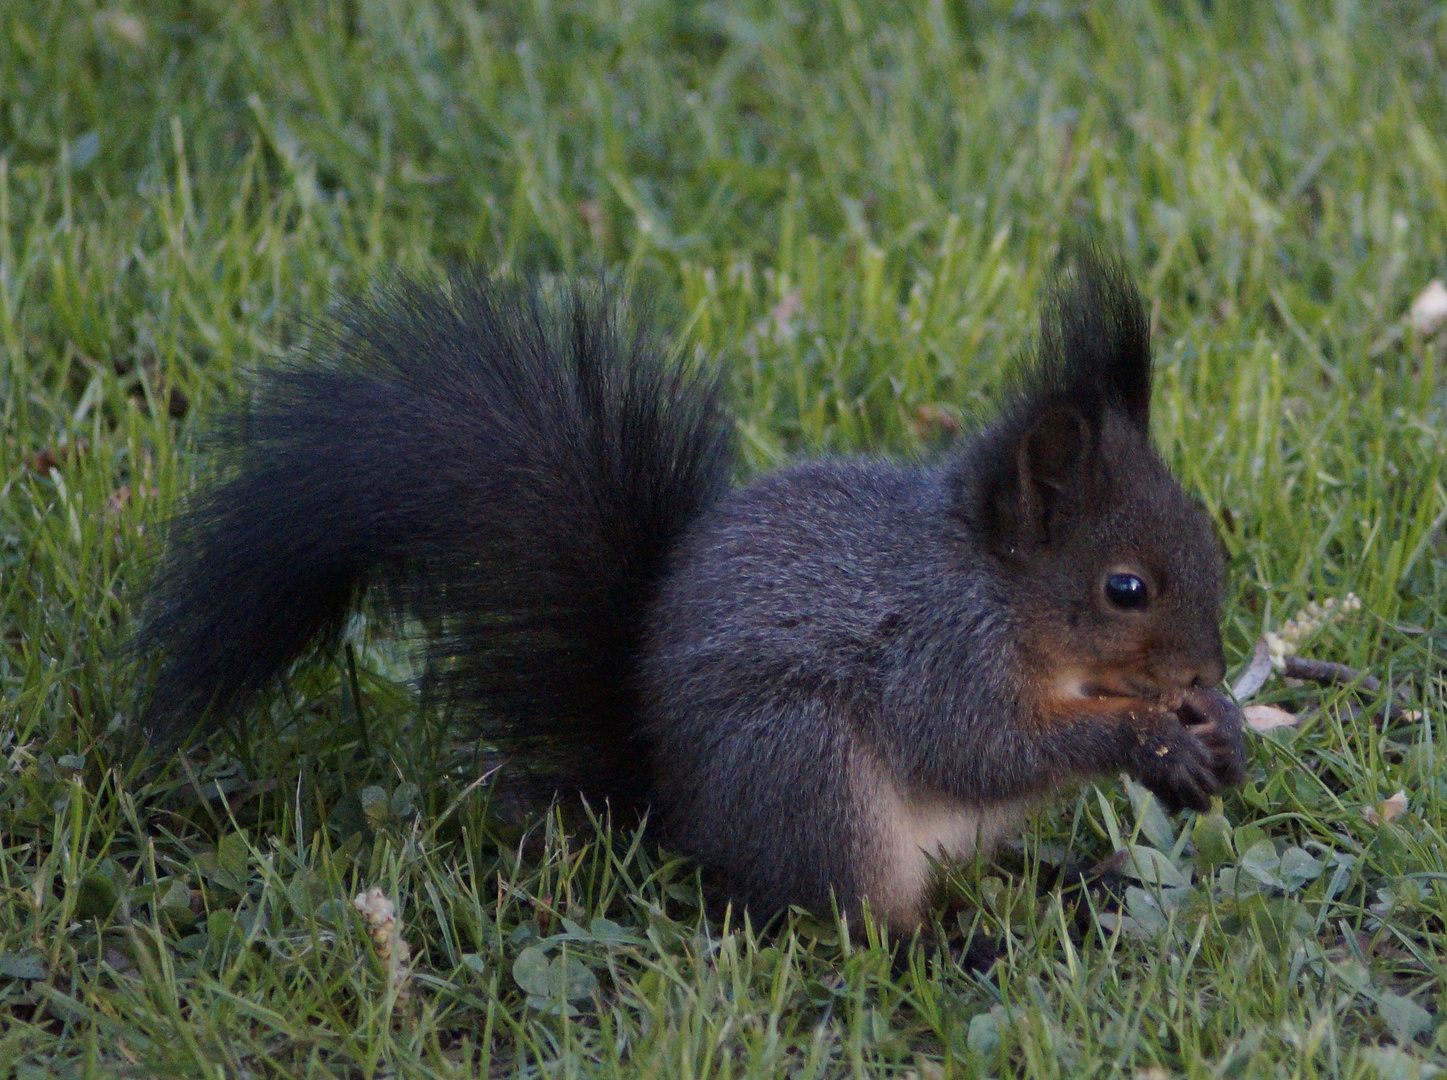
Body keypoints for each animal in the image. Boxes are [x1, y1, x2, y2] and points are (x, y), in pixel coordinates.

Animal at [130, 250, 1250, 926]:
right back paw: (954, 946)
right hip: (805, 772)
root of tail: (678, 815)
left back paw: (1065, 882)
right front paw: (1146, 741)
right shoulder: (934, 657)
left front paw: (1221, 728)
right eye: (1124, 588)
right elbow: (979, 750)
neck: (993, 592)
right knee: (856, 923)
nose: (1204, 672)